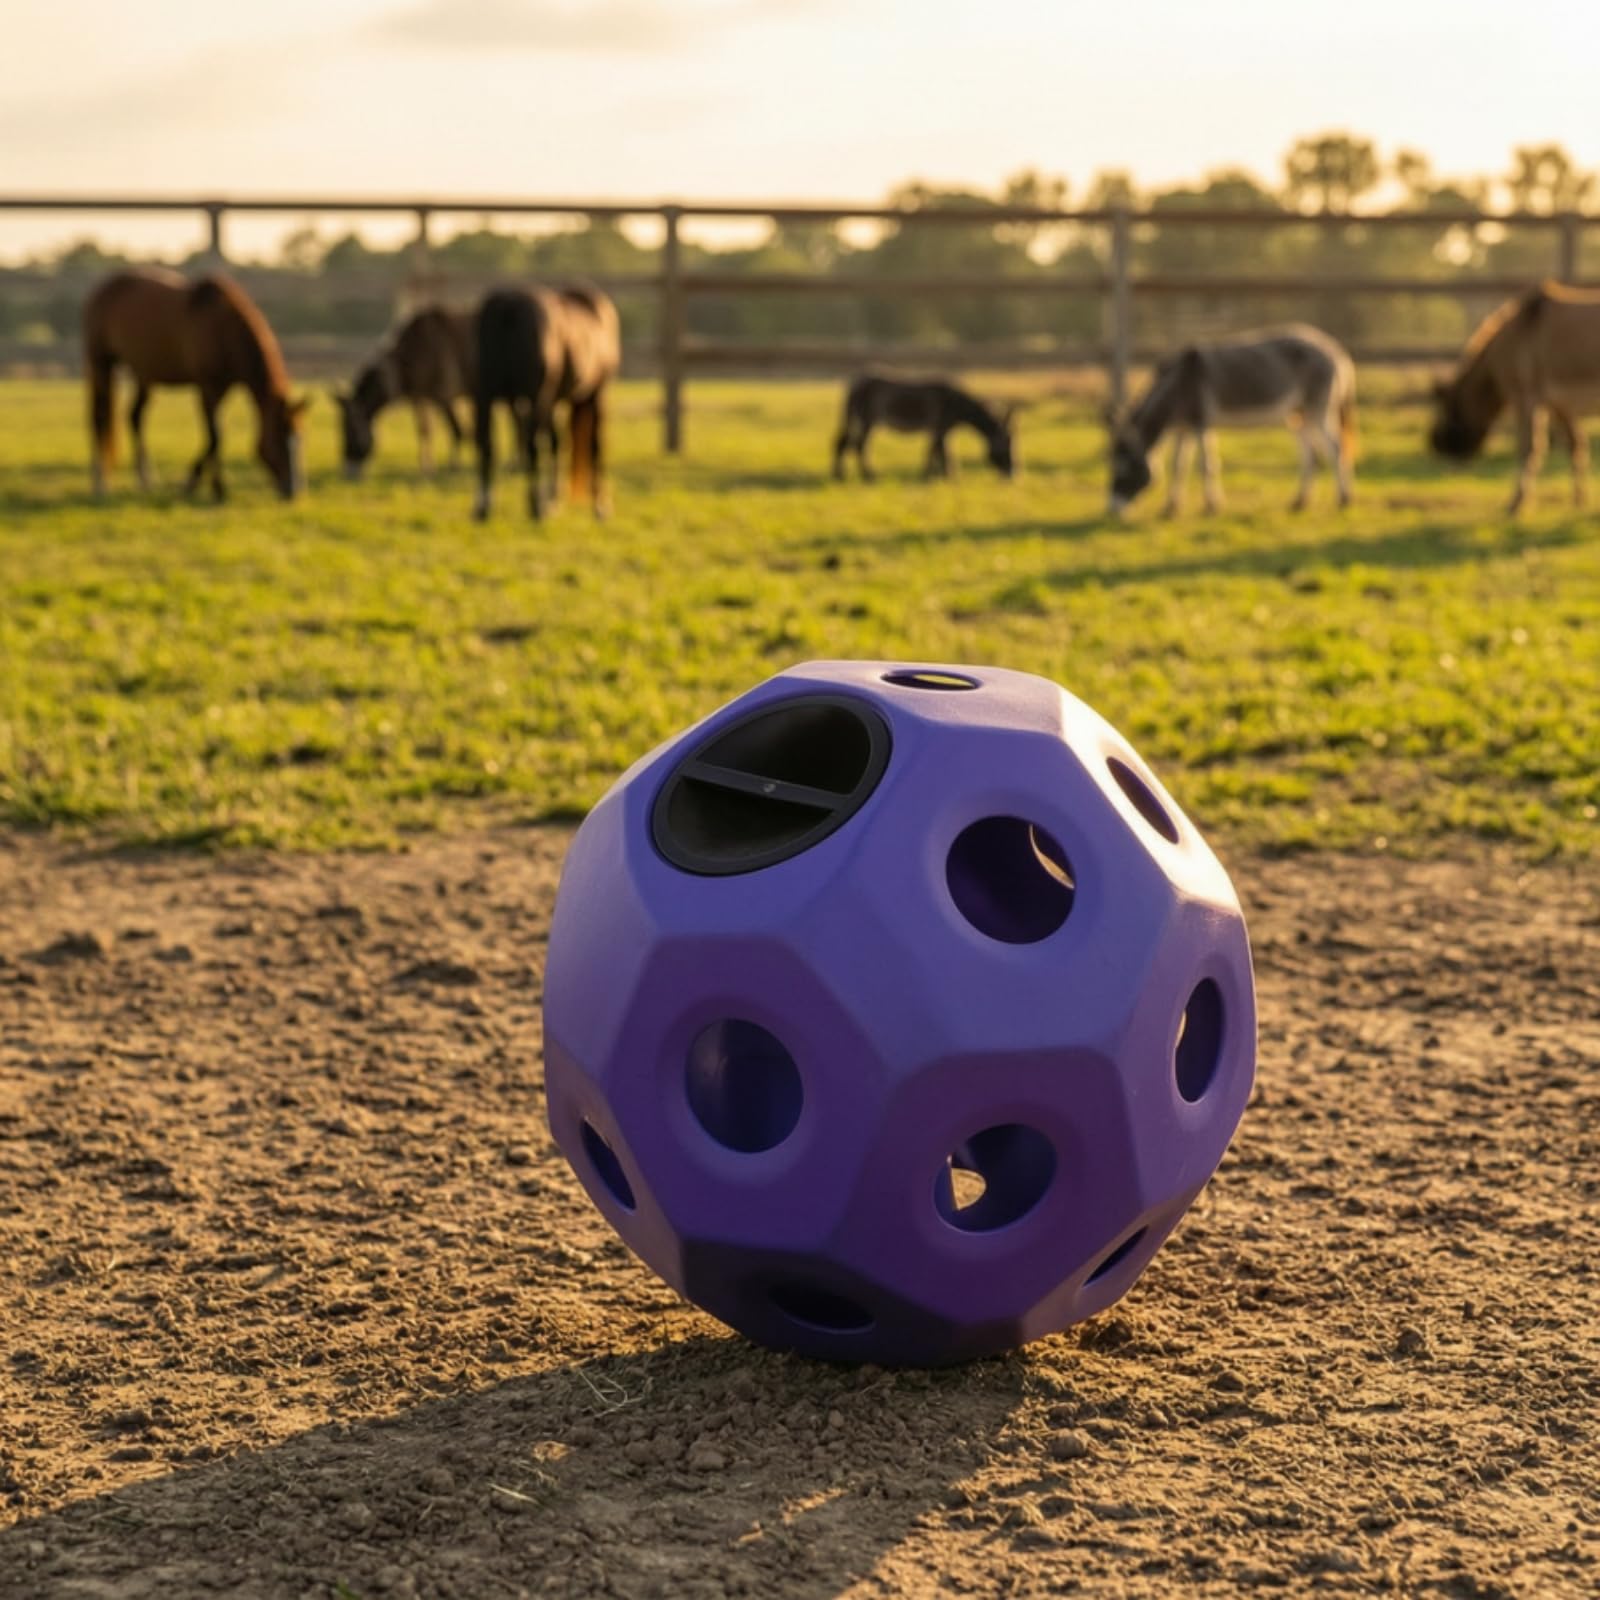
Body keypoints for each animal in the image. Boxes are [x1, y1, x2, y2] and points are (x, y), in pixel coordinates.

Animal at [82, 268, 308, 501]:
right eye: (279, 439)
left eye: (301, 438)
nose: (293, 490)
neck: (222, 328)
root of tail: (100, 291)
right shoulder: (207, 389)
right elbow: (215, 436)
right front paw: (211, 487)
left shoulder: (222, 389)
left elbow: (213, 438)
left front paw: (199, 483)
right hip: (101, 362)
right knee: (99, 418)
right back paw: (100, 483)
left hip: (143, 373)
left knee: (134, 416)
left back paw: (146, 479)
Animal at [472, 285, 620, 522]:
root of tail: (508, 305)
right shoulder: (594, 393)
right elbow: (593, 446)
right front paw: (600, 505)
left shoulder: (550, 400)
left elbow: (555, 442)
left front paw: (554, 500)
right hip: (541, 397)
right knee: (535, 445)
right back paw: (536, 505)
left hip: (486, 396)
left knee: (487, 444)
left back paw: (484, 507)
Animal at [833, 374, 1017, 481]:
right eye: (1006, 448)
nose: (1013, 475)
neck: (957, 405)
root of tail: (855, 384)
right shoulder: (939, 427)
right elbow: (937, 450)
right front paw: (937, 476)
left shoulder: (942, 429)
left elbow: (940, 451)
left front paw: (944, 475)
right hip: (867, 420)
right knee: (858, 445)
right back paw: (868, 475)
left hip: (863, 421)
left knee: (845, 443)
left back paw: (841, 475)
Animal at [1107, 326, 1356, 516]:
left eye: (1123, 469)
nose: (1111, 510)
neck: (1178, 382)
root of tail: (1335, 350)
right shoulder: (1184, 428)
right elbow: (1179, 466)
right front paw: (1171, 508)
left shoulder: (1201, 422)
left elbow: (1206, 465)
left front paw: (1211, 506)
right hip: (1297, 415)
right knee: (1310, 454)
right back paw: (1300, 501)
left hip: (1317, 410)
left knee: (1335, 448)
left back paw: (1344, 499)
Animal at [1429, 282, 1600, 513]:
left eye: (1445, 410)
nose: (1436, 445)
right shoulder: (1560, 404)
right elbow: (1576, 446)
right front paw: (1579, 500)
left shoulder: (1525, 397)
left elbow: (1528, 448)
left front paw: (1518, 502)